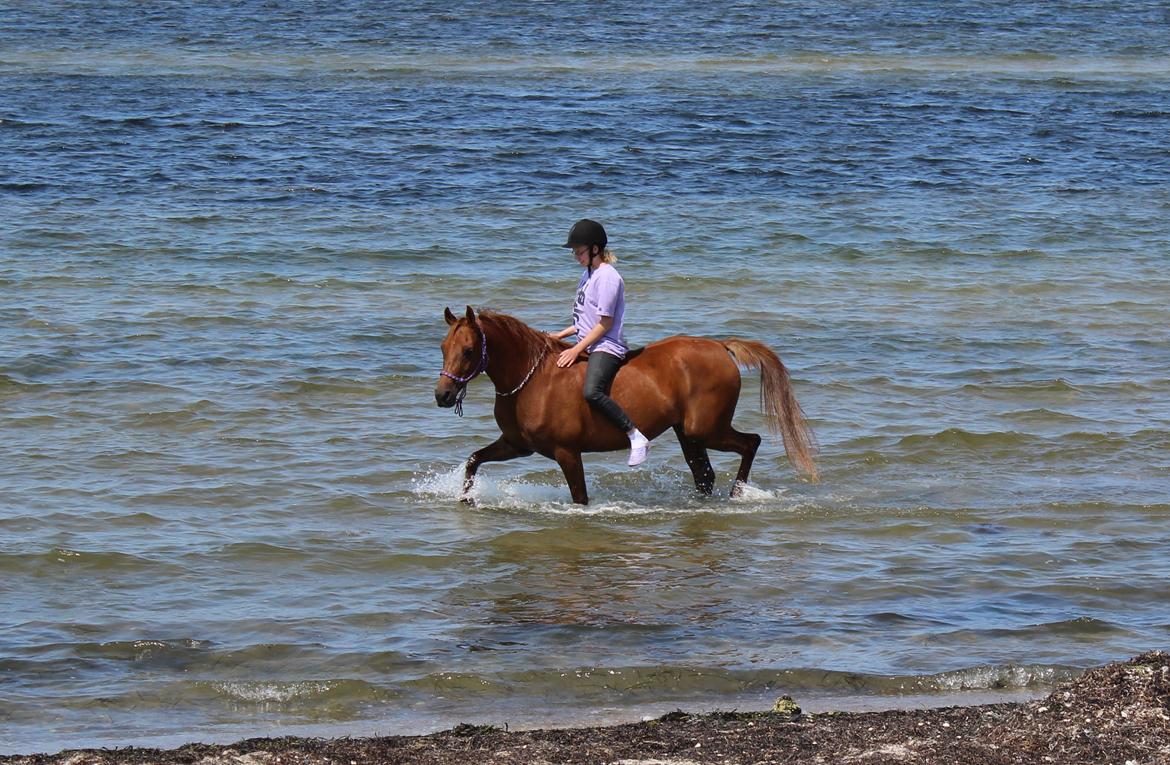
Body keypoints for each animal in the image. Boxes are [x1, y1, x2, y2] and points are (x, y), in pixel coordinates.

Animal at [435, 308, 819, 507]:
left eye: (468, 350)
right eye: (443, 347)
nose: (443, 395)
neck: (533, 380)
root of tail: (720, 347)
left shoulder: (566, 452)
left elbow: (580, 498)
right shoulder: (518, 445)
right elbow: (473, 460)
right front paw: (466, 499)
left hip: (706, 429)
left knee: (750, 442)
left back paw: (738, 493)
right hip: (688, 433)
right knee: (704, 474)